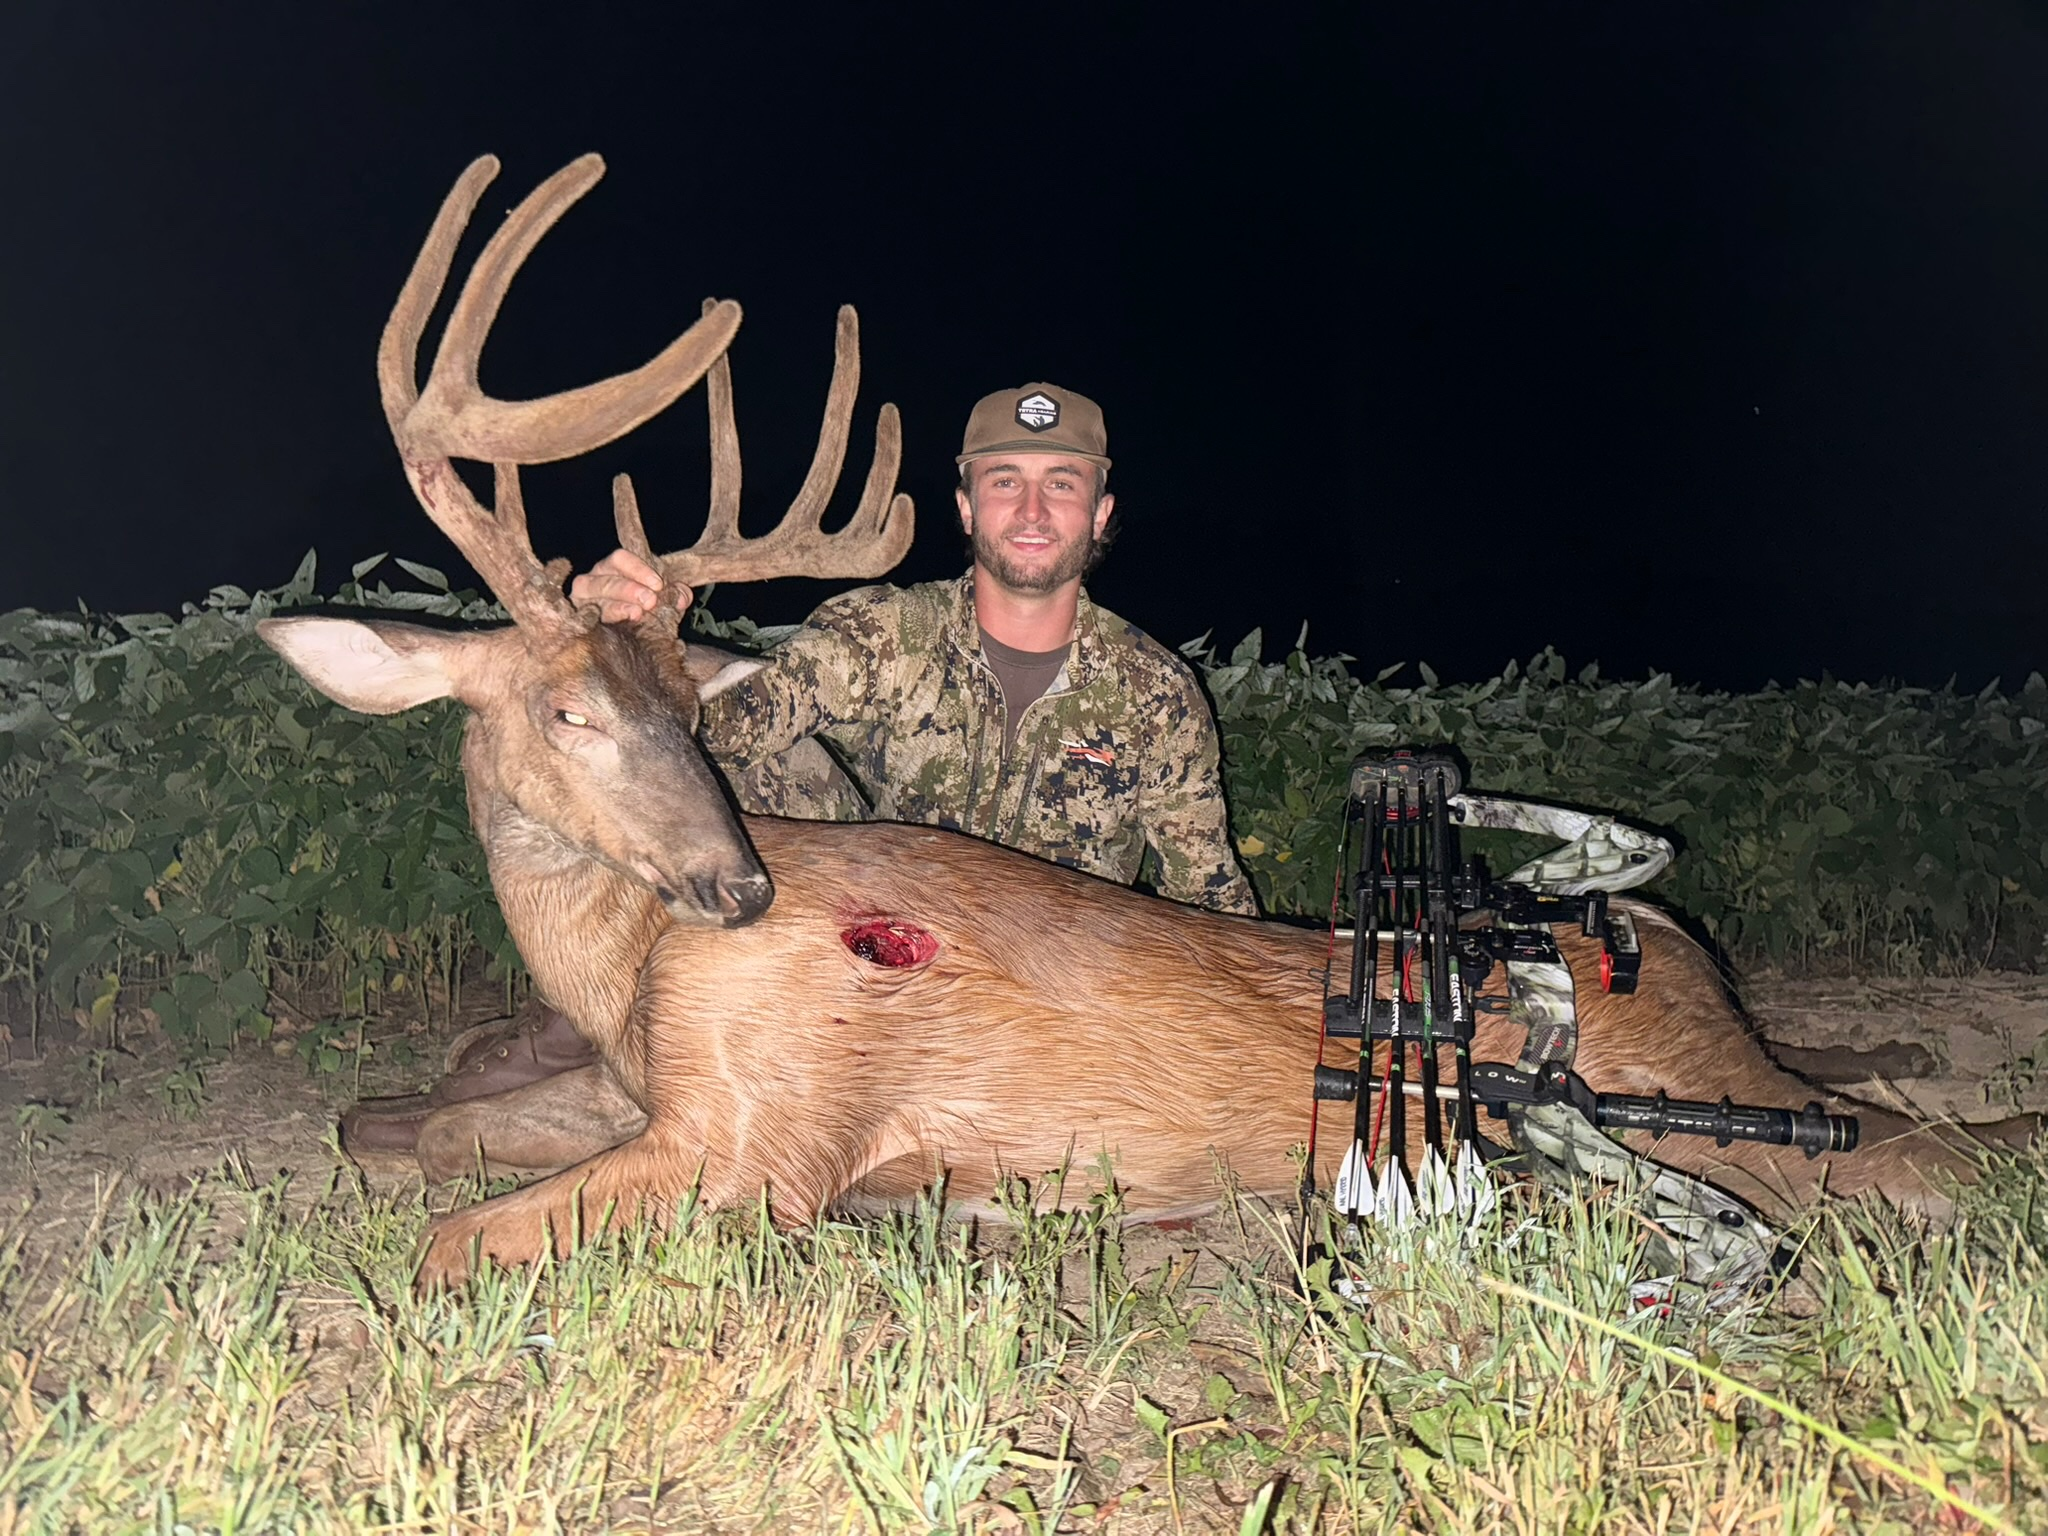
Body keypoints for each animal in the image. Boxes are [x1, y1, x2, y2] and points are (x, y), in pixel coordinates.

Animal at [259, 156, 2033, 1289]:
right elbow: (387, 1127)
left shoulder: (764, 1135)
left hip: (1733, 1122)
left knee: (1933, 1156)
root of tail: (1671, 948)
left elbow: (444, 1241)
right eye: (570, 706)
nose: (738, 886)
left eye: (682, 709)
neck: (629, 970)